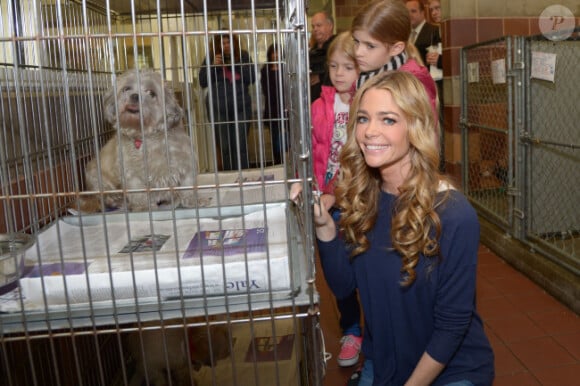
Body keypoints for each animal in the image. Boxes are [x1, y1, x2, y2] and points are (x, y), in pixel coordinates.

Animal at [80, 70, 199, 211]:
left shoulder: (185, 164)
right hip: (95, 176)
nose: (135, 96)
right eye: (126, 89)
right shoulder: (131, 175)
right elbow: (139, 193)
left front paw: (193, 201)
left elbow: (188, 187)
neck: (147, 139)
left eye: (151, 93)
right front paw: (144, 207)